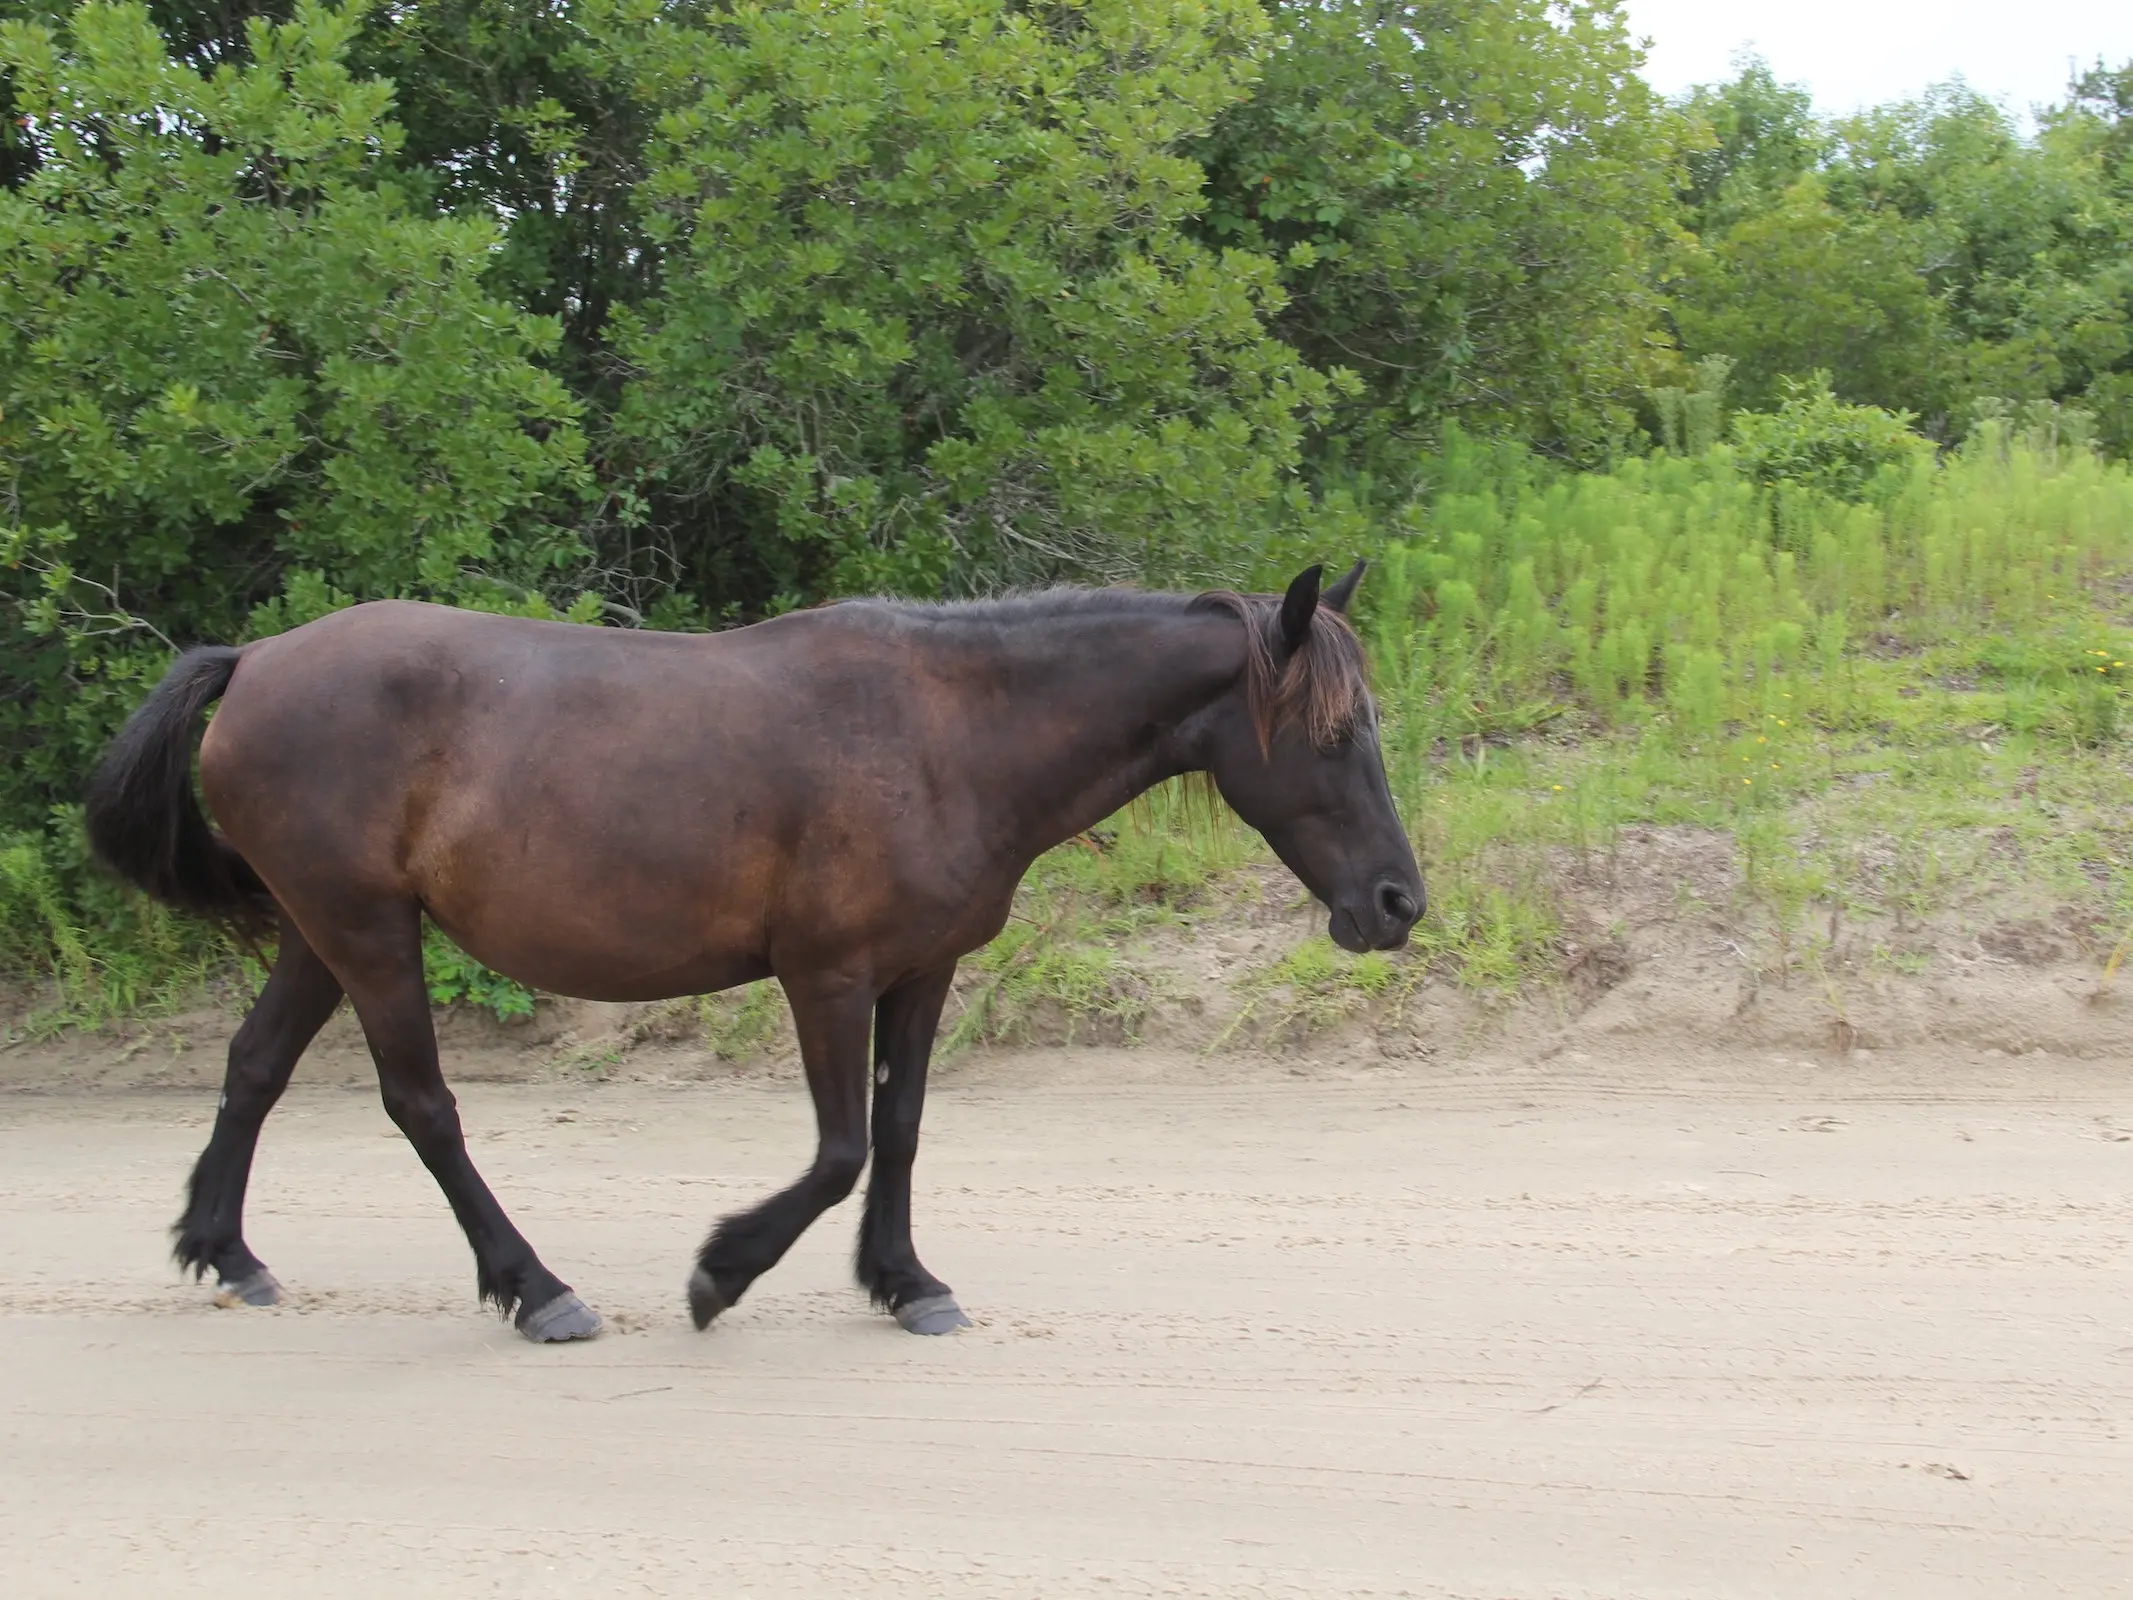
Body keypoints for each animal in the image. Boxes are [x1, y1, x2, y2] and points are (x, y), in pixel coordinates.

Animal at [87, 563, 1416, 1339]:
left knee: (254, 1066)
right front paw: (722, 1272)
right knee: (422, 1105)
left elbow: (900, 1129)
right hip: (365, 930)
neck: (946, 730)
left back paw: (225, 1250)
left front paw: (907, 1280)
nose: (1400, 900)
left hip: (326, 928)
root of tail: (254, 660)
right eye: (1332, 733)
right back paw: (538, 1288)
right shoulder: (825, 976)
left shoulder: (921, 972)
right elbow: (837, 1149)